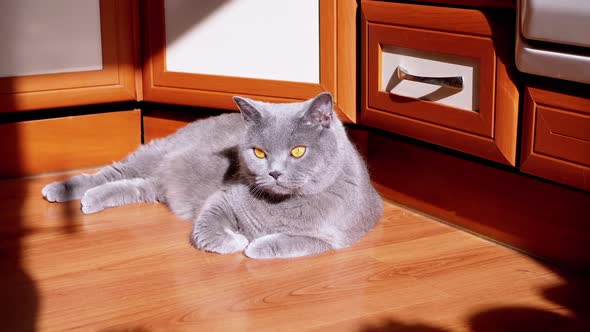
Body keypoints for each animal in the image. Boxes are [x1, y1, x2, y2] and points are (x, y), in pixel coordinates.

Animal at [41, 92, 384, 258]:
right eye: (259, 153)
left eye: (298, 151)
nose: (274, 172)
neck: (281, 206)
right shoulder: (223, 198)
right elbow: (207, 226)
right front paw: (237, 241)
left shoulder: (337, 236)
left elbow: (299, 242)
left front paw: (257, 245)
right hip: (156, 153)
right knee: (113, 172)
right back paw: (62, 190)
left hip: (157, 184)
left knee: (134, 186)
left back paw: (92, 200)